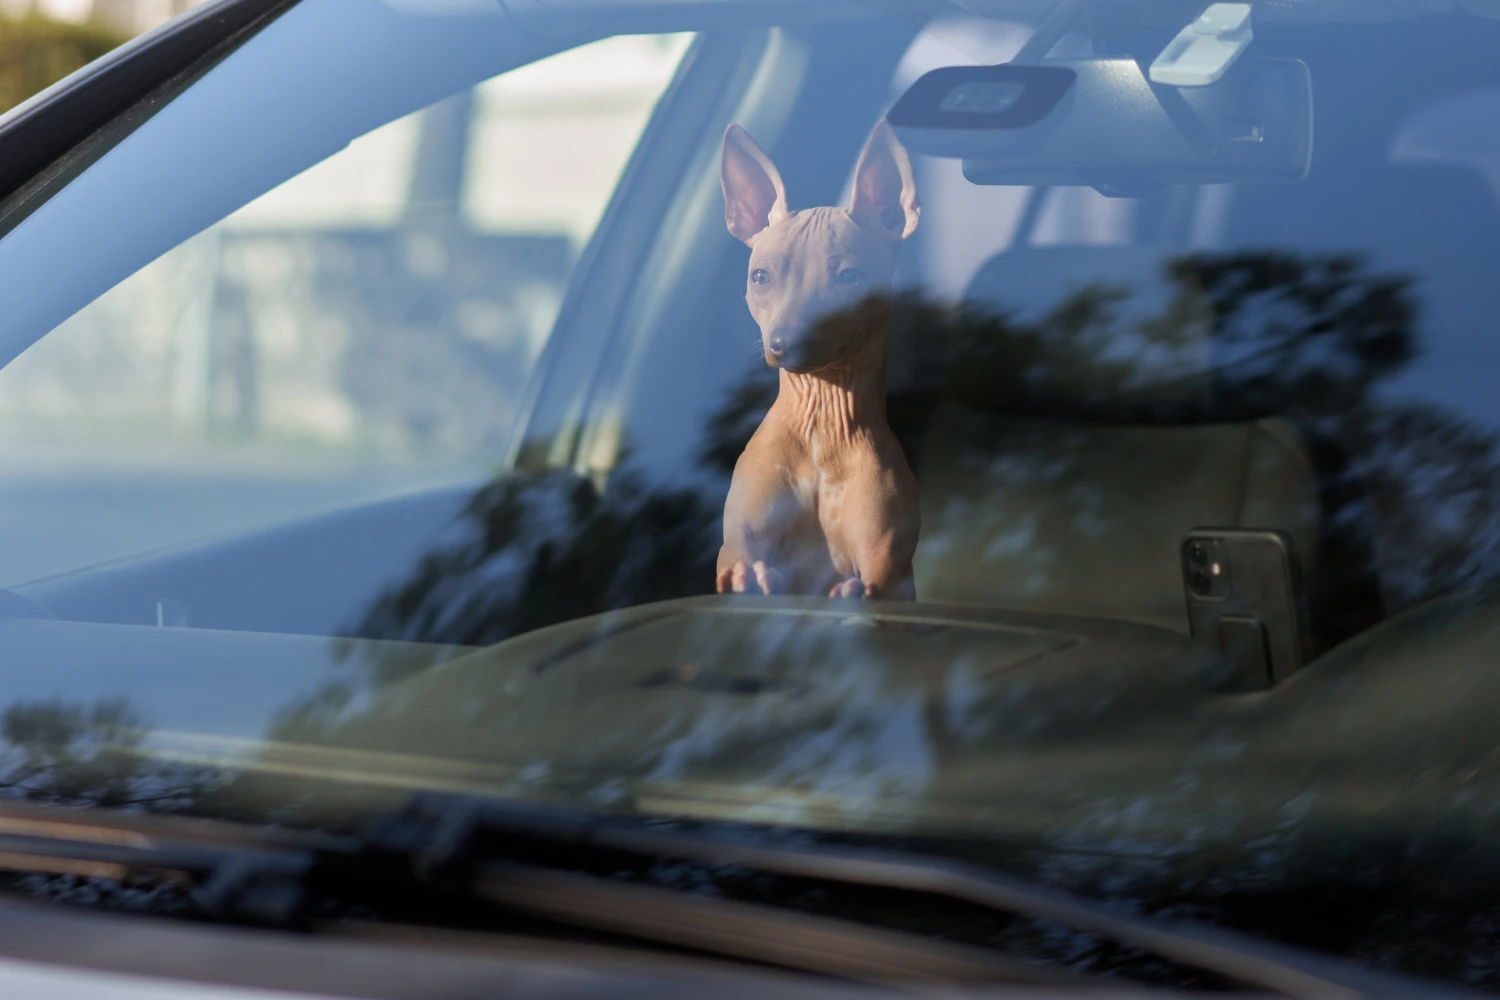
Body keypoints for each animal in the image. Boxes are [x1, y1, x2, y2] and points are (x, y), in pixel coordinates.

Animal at [714, 119, 924, 602]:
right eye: (760, 277)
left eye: (849, 276)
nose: (784, 342)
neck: (820, 429)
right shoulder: (740, 534)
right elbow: (736, 554)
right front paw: (750, 575)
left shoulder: (886, 563)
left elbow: (871, 582)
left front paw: (849, 592)